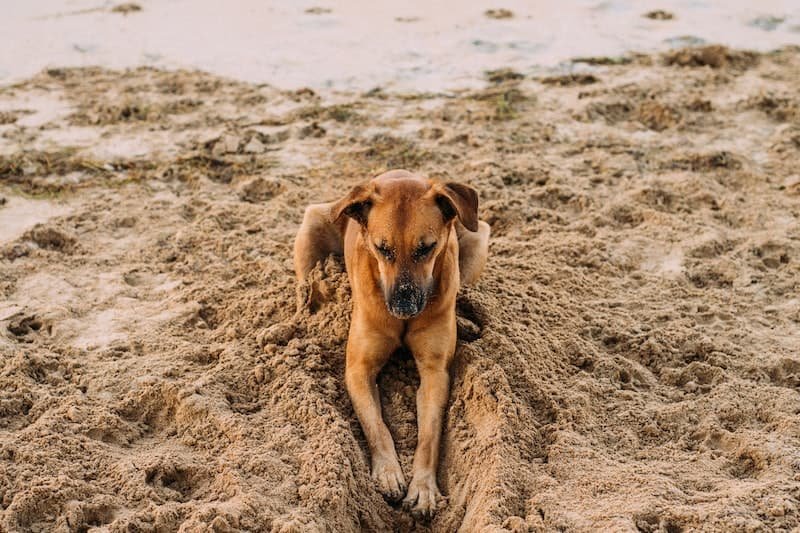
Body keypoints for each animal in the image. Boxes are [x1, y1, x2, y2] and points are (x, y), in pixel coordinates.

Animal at [294, 167, 490, 516]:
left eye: (426, 248)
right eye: (382, 248)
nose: (403, 307)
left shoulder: (435, 372)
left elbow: (429, 435)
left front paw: (423, 486)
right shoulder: (358, 370)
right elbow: (376, 425)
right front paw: (388, 472)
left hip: (478, 234)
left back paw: (465, 320)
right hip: (312, 223)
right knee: (305, 288)